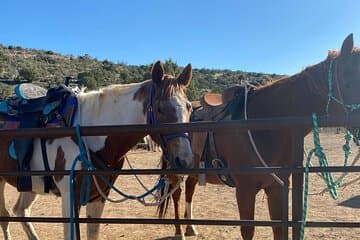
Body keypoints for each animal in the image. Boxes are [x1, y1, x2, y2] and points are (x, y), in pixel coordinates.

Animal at [0, 60, 194, 240]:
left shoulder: (98, 197)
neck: (88, 132)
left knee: (20, 211)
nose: (185, 160)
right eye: (160, 108)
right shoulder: (69, 197)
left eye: (189, 106)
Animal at [159, 34, 360, 240]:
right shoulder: (245, 190)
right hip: (176, 166)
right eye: (348, 81)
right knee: (176, 193)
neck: (265, 125)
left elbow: (279, 229)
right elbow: (248, 231)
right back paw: (179, 231)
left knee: (189, 190)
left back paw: (191, 227)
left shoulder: (277, 188)